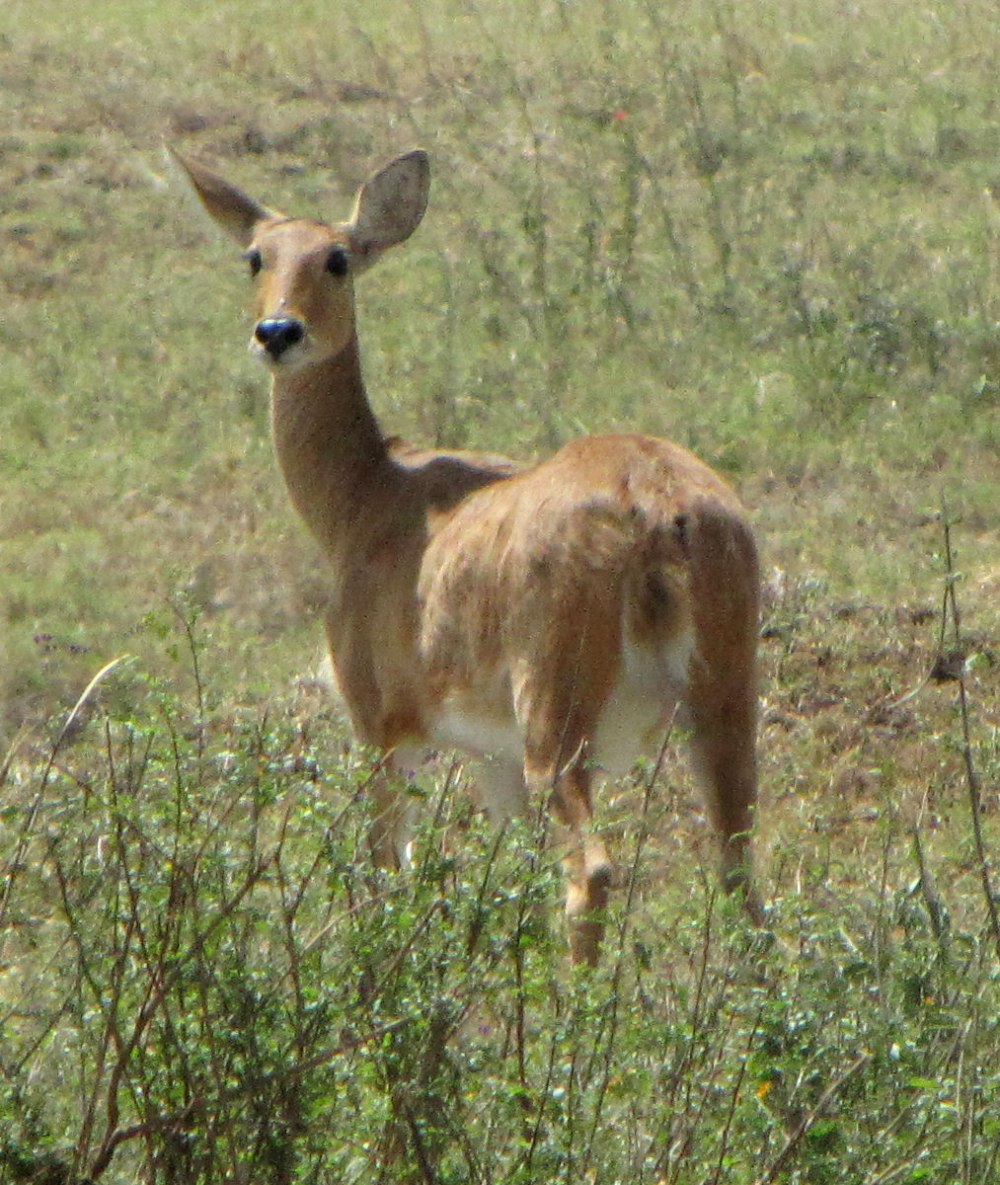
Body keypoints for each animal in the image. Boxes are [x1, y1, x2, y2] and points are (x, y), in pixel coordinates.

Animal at [174, 148, 767, 962]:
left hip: (558, 716)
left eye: (337, 257)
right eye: (255, 256)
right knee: (740, 873)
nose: (277, 331)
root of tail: (660, 510)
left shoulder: (383, 726)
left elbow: (383, 872)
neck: (369, 494)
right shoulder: (494, 759)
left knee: (593, 872)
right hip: (723, 701)